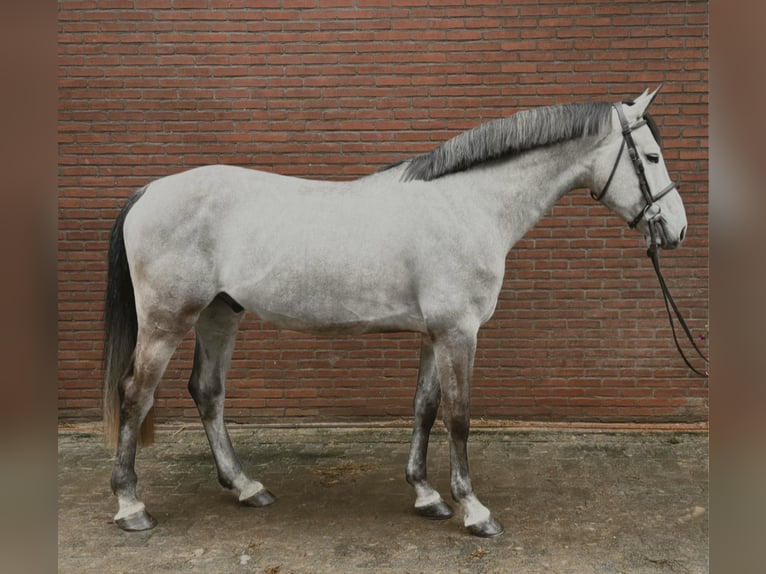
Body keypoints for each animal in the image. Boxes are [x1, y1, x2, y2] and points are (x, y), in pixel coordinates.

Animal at [102, 86, 688, 537]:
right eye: (651, 157)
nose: (677, 229)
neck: (467, 205)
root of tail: (149, 191)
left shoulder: (435, 333)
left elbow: (425, 408)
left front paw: (427, 495)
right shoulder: (459, 333)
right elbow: (459, 417)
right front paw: (475, 510)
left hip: (220, 313)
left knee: (207, 392)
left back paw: (247, 487)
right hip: (168, 320)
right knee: (135, 395)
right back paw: (131, 506)